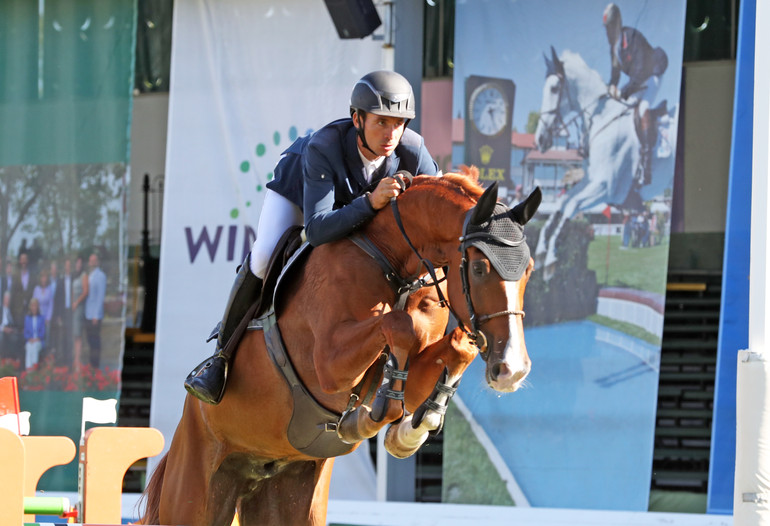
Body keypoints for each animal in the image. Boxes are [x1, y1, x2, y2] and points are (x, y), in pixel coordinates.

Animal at [138, 173, 540, 526]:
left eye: (529, 270)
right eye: (479, 268)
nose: (513, 370)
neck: (392, 260)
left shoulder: (418, 369)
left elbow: (456, 349)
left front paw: (408, 432)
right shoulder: (328, 365)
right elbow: (400, 326)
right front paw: (368, 418)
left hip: (290, 494)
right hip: (196, 488)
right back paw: (207, 379)